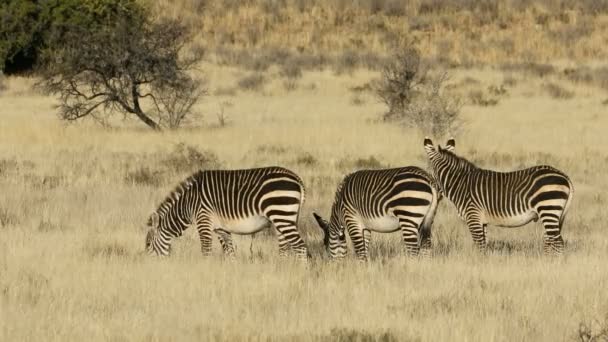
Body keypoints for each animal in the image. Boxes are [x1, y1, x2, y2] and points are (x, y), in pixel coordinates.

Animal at [145, 166, 308, 260]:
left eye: (147, 244)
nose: (148, 267)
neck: (188, 204)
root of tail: (296, 178)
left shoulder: (203, 220)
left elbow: (206, 251)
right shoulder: (220, 228)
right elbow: (230, 253)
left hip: (281, 213)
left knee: (300, 246)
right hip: (283, 218)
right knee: (284, 249)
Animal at [314, 167, 442, 260]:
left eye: (324, 243)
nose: (333, 266)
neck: (340, 208)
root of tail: (429, 179)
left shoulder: (352, 220)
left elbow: (360, 251)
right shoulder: (365, 227)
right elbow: (365, 249)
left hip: (408, 216)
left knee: (413, 250)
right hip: (426, 219)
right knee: (426, 246)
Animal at [422, 138, 576, 254]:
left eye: (430, 169)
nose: (435, 192)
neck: (461, 183)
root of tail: (565, 176)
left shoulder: (473, 216)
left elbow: (479, 246)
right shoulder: (482, 221)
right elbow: (484, 245)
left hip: (548, 208)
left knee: (558, 243)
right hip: (554, 213)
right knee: (551, 241)